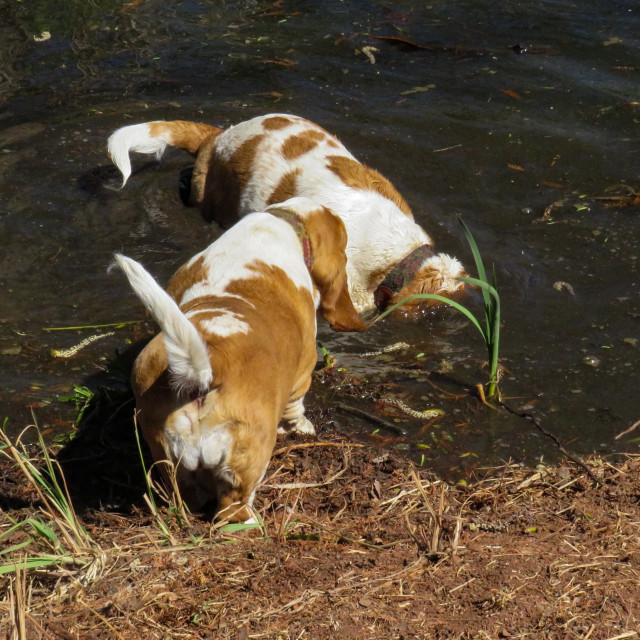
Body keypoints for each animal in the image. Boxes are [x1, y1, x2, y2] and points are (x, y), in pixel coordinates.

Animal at [114, 198, 364, 524]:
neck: (283, 220)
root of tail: (206, 372)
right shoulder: (303, 371)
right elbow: (296, 407)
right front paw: (302, 428)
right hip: (247, 456)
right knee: (233, 508)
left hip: (167, 455)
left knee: (185, 496)